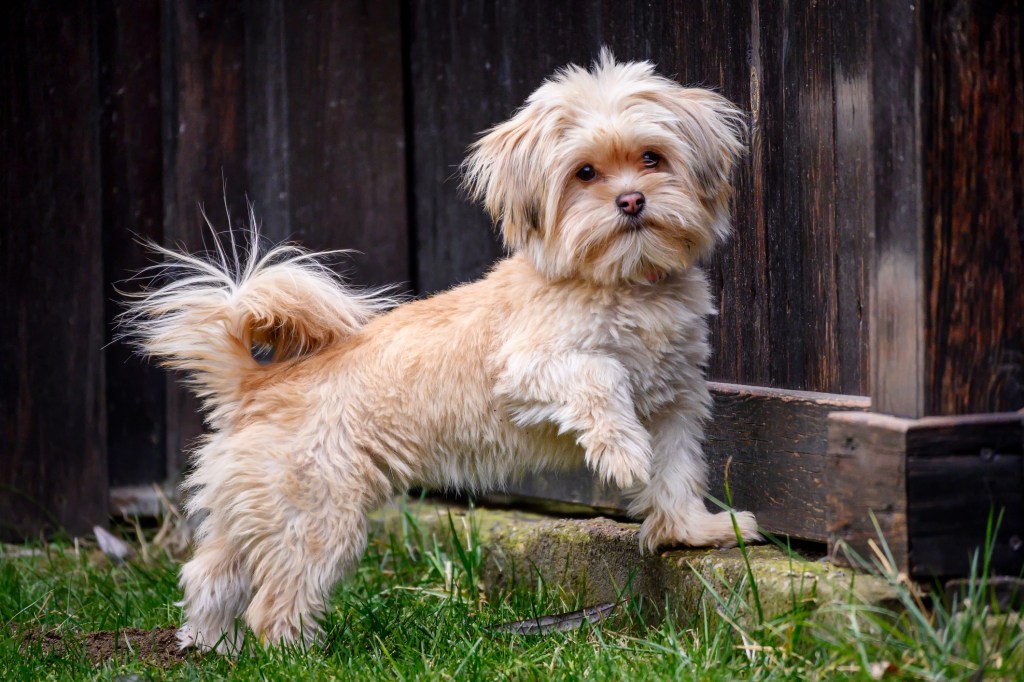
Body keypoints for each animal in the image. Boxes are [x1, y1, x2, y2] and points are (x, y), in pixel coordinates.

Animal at [121, 50, 761, 651]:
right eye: (585, 173)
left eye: (652, 158)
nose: (631, 200)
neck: (622, 282)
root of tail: (257, 382)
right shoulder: (532, 368)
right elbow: (601, 380)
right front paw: (623, 454)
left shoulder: (675, 407)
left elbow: (676, 474)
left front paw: (693, 531)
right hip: (316, 518)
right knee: (272, 603)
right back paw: (294, 654)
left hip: (252, 510)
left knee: (209, 578)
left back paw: (212, 646)